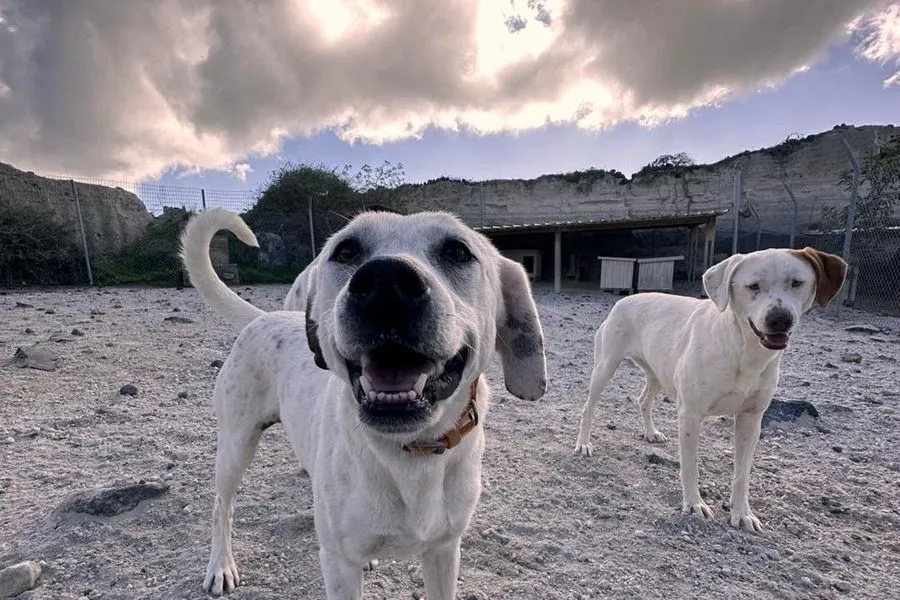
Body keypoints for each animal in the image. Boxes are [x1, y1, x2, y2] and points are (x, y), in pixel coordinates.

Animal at [179, 209, 544, 596]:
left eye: (458, 251)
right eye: (346, 251)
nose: (387, 281)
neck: (412, 451)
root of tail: (264, 317)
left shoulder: (444, 552)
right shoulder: (339, 565)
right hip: (235, 446)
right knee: (222, 507)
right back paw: (220, 565)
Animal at [576, 247, 844, 528]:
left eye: (797, 283)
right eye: (753, 286)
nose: (780, 319)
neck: (743, 350)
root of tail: (624, 300)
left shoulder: (751, 419)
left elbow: (742, 474)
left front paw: (742, 513)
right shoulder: (691, 415)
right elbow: (690, 466)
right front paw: (694, 504)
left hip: (658, 374)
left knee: (643, 400)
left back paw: (651, 432)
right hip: (605, 367)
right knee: (588, 408)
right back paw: (584, 443)